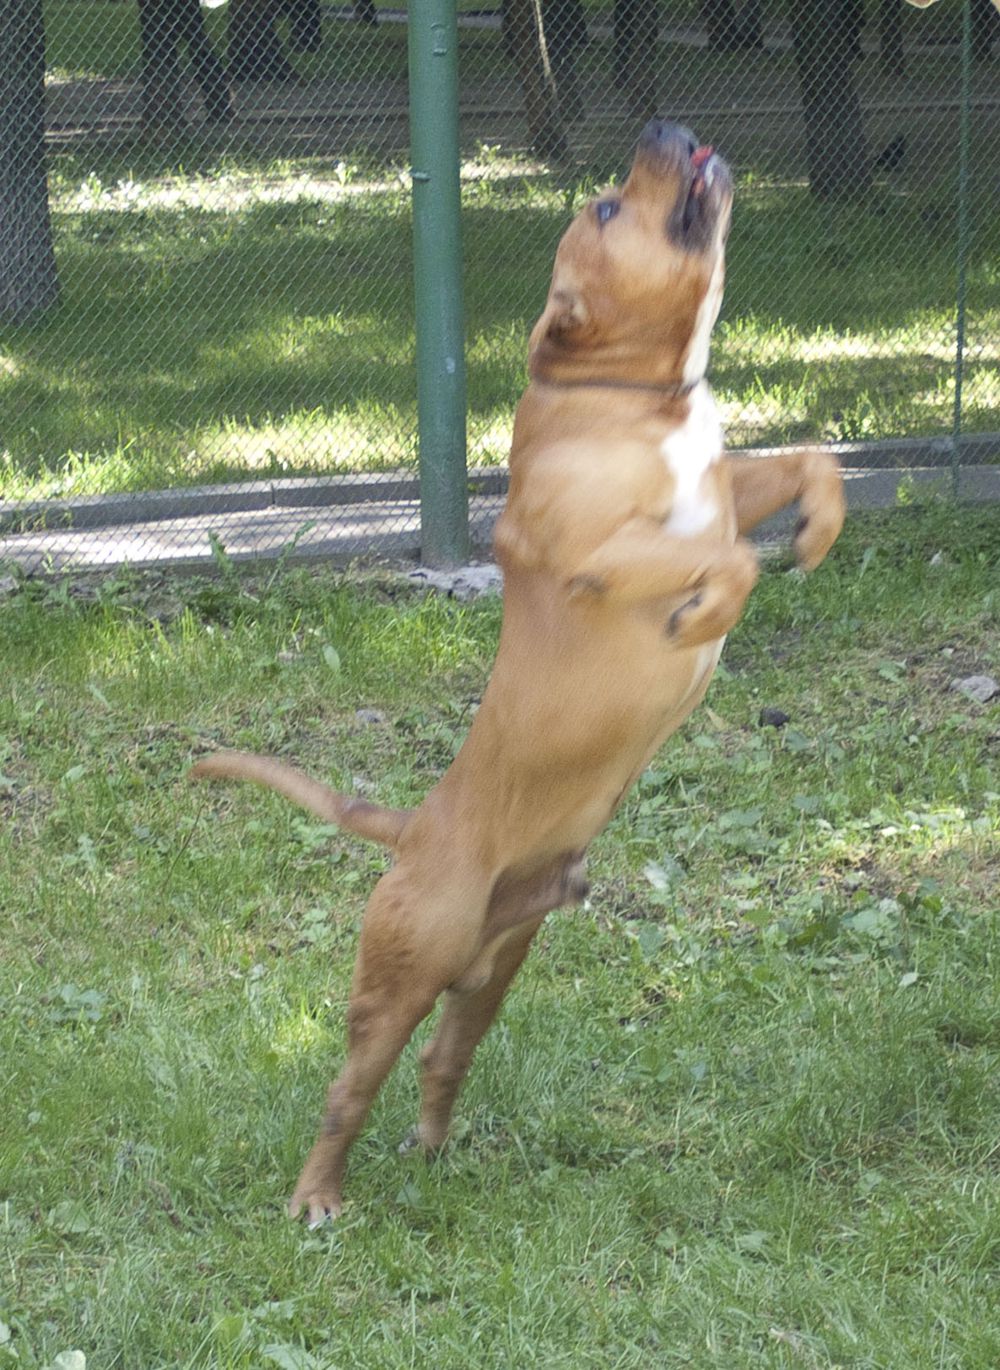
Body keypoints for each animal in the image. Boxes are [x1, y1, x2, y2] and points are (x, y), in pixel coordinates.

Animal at [192, 119, 845, 1224]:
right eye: (609, 209)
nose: (664, 128)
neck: (632, 397)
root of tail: (413, 829)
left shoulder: (727, 489)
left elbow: (810, 461)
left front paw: (821, 530)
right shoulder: (603, 556)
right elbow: (731, 563)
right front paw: (708, 610)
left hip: (494, 973)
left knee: (442, 1062)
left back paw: (434, 1152)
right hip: (402, 975)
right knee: (346, 1090)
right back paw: (319, 1196)